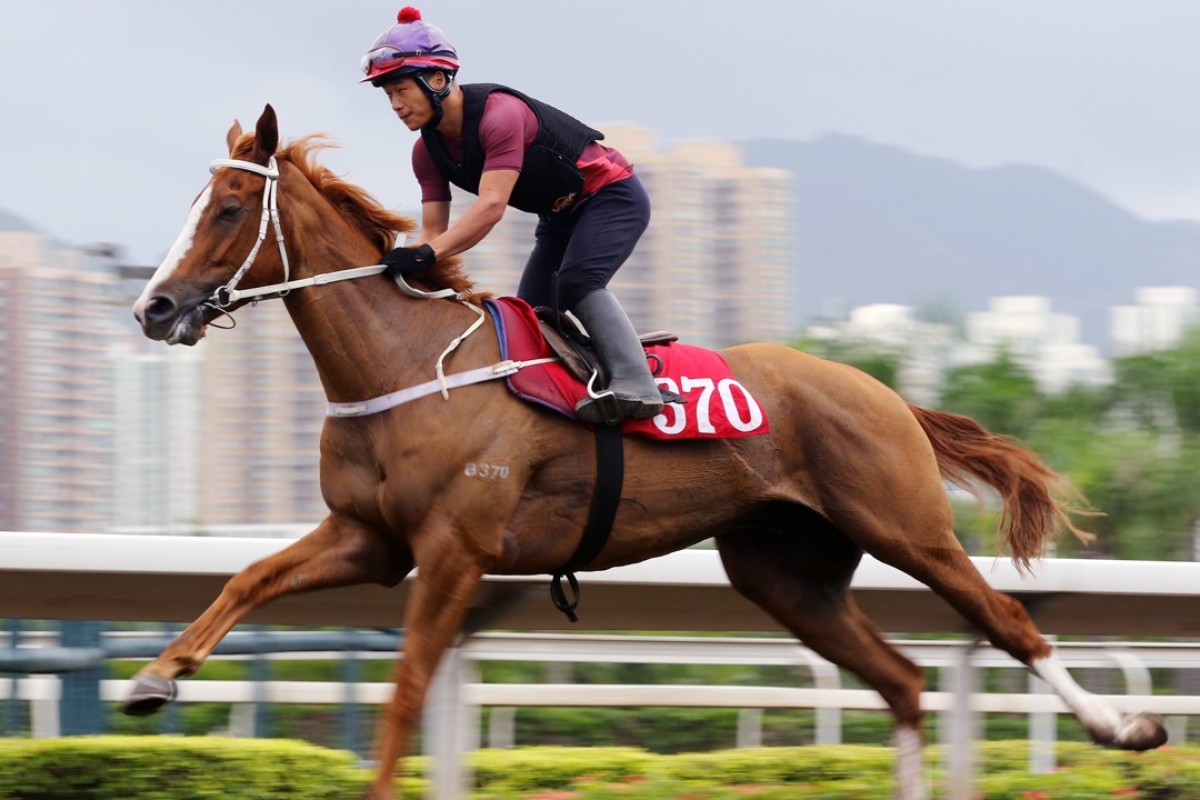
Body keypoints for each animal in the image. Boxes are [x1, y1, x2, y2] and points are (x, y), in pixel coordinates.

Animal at [129, 106, 1161, 800]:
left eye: (228, 208)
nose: (153, 307)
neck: (407, 363)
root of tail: (881, 390)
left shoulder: (455, 550)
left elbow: (407, 692)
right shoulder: (370, 540)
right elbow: (249, 579)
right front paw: (152, 678)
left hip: (907, 528)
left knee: (1011, 626)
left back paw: (1126, 723)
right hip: (784, 573)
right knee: (901, 681)